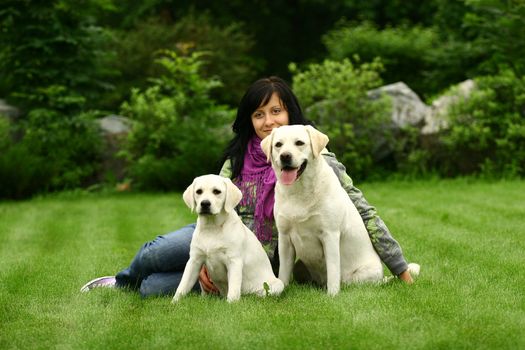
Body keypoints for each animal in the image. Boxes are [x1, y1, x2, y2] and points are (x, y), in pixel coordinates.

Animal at [171, 174, 282, 302]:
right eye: (199, 191)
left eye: (216, 191)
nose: (205, 203)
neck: (212, 227)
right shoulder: (194, 260)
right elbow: (183, 285)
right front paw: (174, 302)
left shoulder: (234, 261)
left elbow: (233, 288)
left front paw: (231, 304)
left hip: (278, 285)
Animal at [260, 126, 382, 296]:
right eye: (278, 145)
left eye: (299, 143)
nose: (285, 156)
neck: (299, 191)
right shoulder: (284, 238)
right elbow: (283, 272)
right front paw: (282, 290)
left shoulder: (330, 234)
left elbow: (333, 269)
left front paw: (332, 295)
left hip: (366, 273)